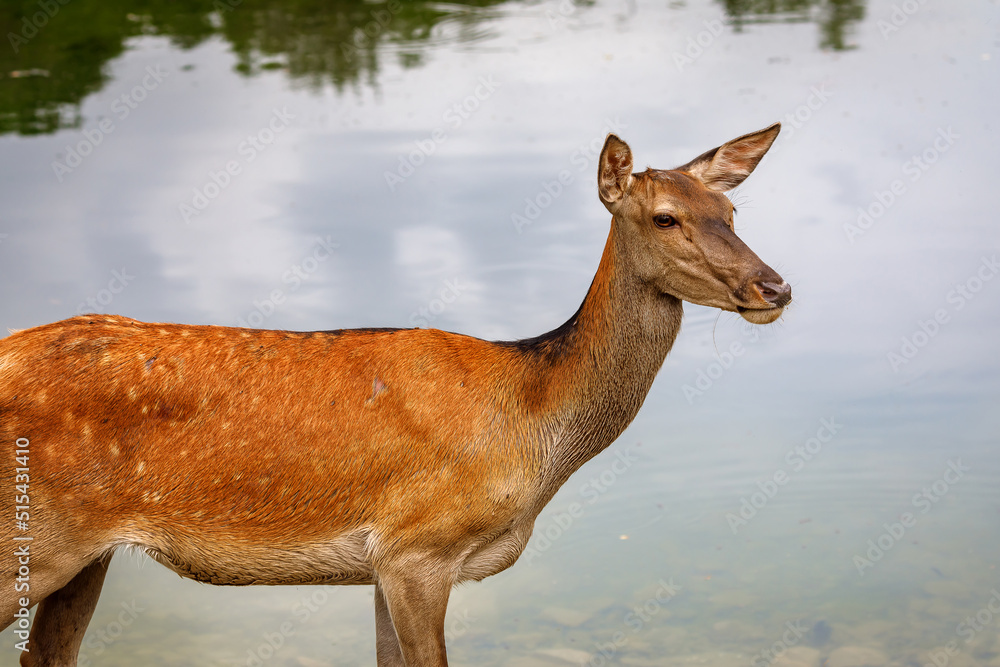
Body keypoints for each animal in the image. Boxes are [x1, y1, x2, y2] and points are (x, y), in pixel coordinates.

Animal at [0, 123, 790, 666]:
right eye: (664, 217)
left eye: (732, 213)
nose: (774, 286)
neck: (532, 420)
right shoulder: (420, 546)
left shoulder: (381, 565)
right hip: (32, 535)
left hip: (81, 556)